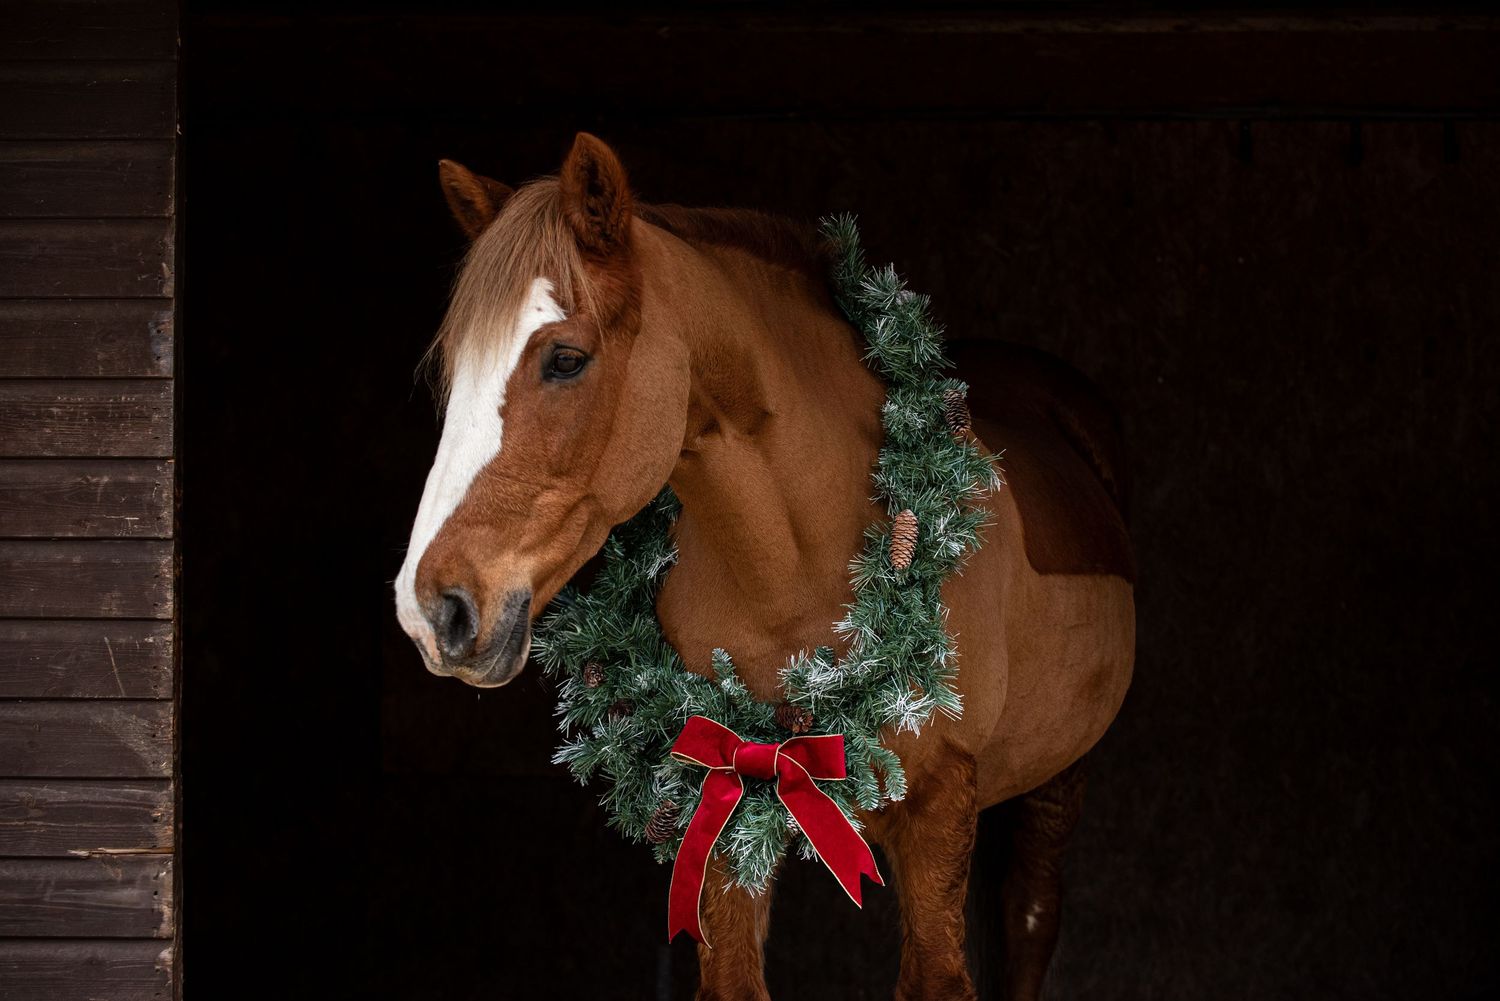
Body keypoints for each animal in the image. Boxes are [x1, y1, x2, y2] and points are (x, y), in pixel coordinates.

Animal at [395, 132, 1135, 1001]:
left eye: (566, 359)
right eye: (453, 372)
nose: (431, 609)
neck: (800, 570)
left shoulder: (938, 808)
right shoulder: (720, 812)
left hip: (1058, 782)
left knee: (1028, 920)